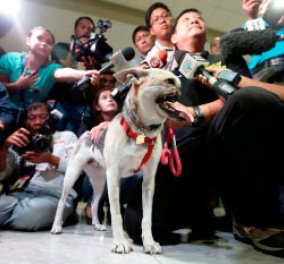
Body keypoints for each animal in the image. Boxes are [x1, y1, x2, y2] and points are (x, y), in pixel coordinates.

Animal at [50, 67, 184, 254]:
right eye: (169, 81)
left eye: (178, 83)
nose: (180, 90)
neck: (142, 131)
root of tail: (85, 134)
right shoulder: (113, 176)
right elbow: (116, 215)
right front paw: (120, 243)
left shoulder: (148, 181)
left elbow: (146, 217)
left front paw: (149, 243)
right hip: (73, 175)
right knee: (62, 202)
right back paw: (56, 226)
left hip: (100, 181)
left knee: (94, 203)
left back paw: (97, 224)